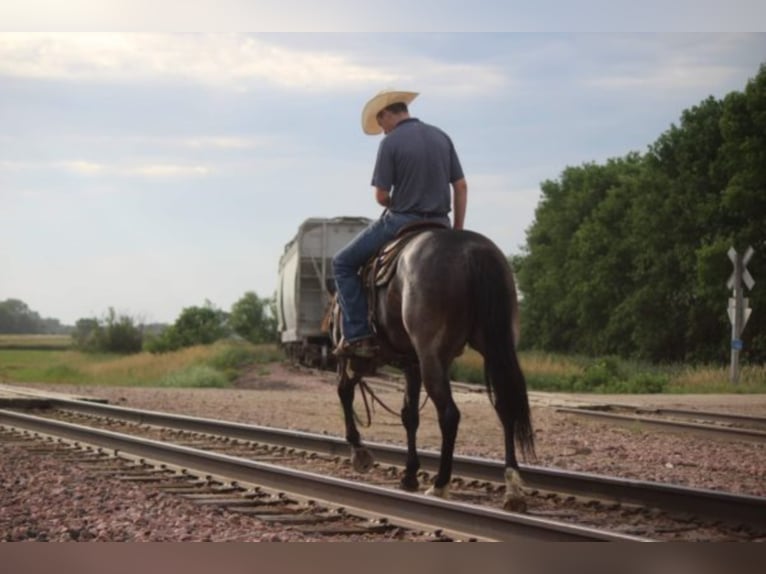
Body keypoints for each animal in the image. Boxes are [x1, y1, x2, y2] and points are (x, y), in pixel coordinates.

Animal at [328, 225, 536, 512]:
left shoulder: (353, 358)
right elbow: (409, 415)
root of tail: (473, 251)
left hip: (430, 358)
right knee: (506, 408)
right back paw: (513, 489)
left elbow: (344, 392)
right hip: (495, 349)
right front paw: (409, 475)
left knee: (449, 414)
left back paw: (440, 484)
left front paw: (360, 452)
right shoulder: (412, 364)